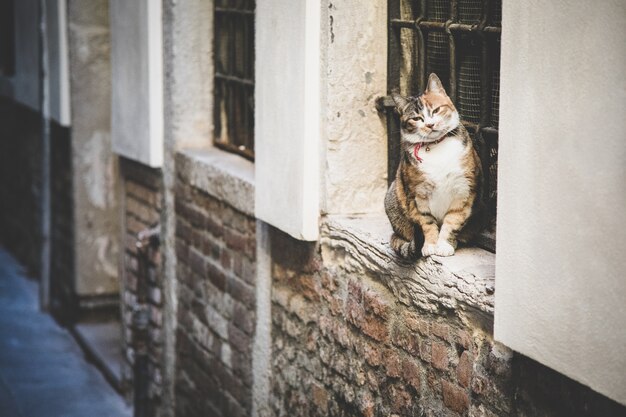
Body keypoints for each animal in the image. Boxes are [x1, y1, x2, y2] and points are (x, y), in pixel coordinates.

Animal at [382, 73, 486, 258]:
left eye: (436, 110)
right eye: (416, 118)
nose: (430, 124)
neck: (437, 146)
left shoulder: (463, 191)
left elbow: (452, 221)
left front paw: (444, 245)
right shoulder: (416, 194)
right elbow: (427, 223)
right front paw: (430, 245)